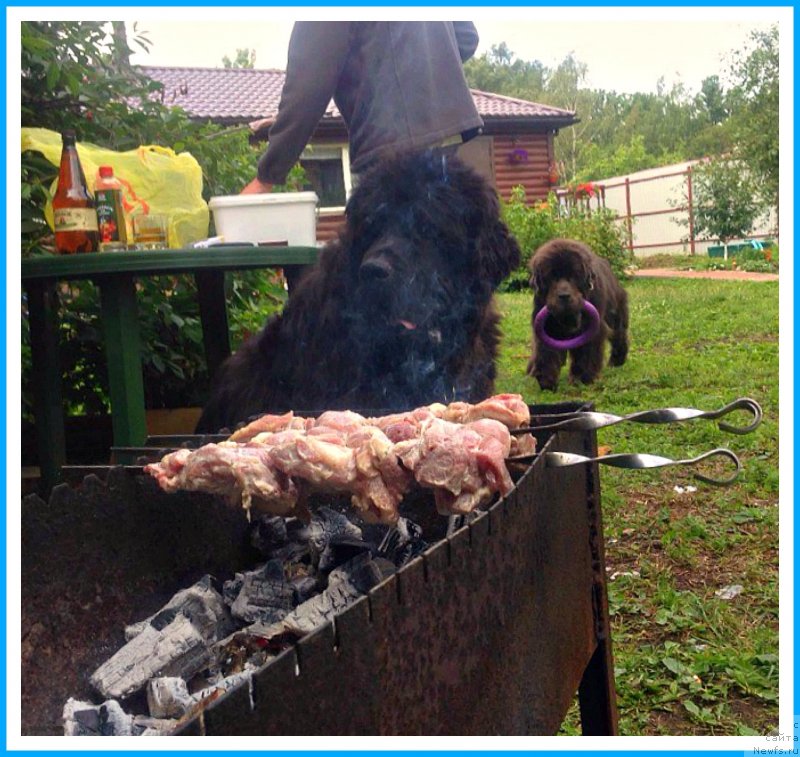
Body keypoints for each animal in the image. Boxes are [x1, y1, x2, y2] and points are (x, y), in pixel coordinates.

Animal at [524, 238, 632, 392]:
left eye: (574, 276)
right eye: (551, 277)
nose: (564, 295)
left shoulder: (591, 328)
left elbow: (586, 352)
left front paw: (582, 378)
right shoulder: (546, 327)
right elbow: (546, 352)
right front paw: (546, 380)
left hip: (616, 314)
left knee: (619, 336)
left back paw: (617, 361)